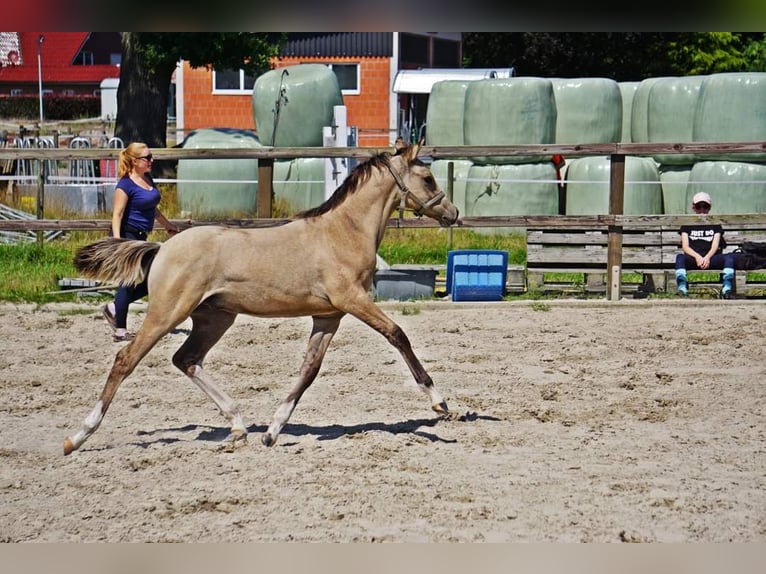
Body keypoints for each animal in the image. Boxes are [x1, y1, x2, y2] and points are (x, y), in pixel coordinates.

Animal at [63, 142, 460, 456]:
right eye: (428, 178)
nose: (453, 214)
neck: (341, 232)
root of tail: (161, 249)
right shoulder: (352, 300)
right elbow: (397, 335)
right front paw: (440, 403)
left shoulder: (329, 315)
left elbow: (309, 370)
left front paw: (272, 431)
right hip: (167, 313)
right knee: (126, 360)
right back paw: (78, 436)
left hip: (215, 318)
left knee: (186, 359)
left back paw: (239, 427)